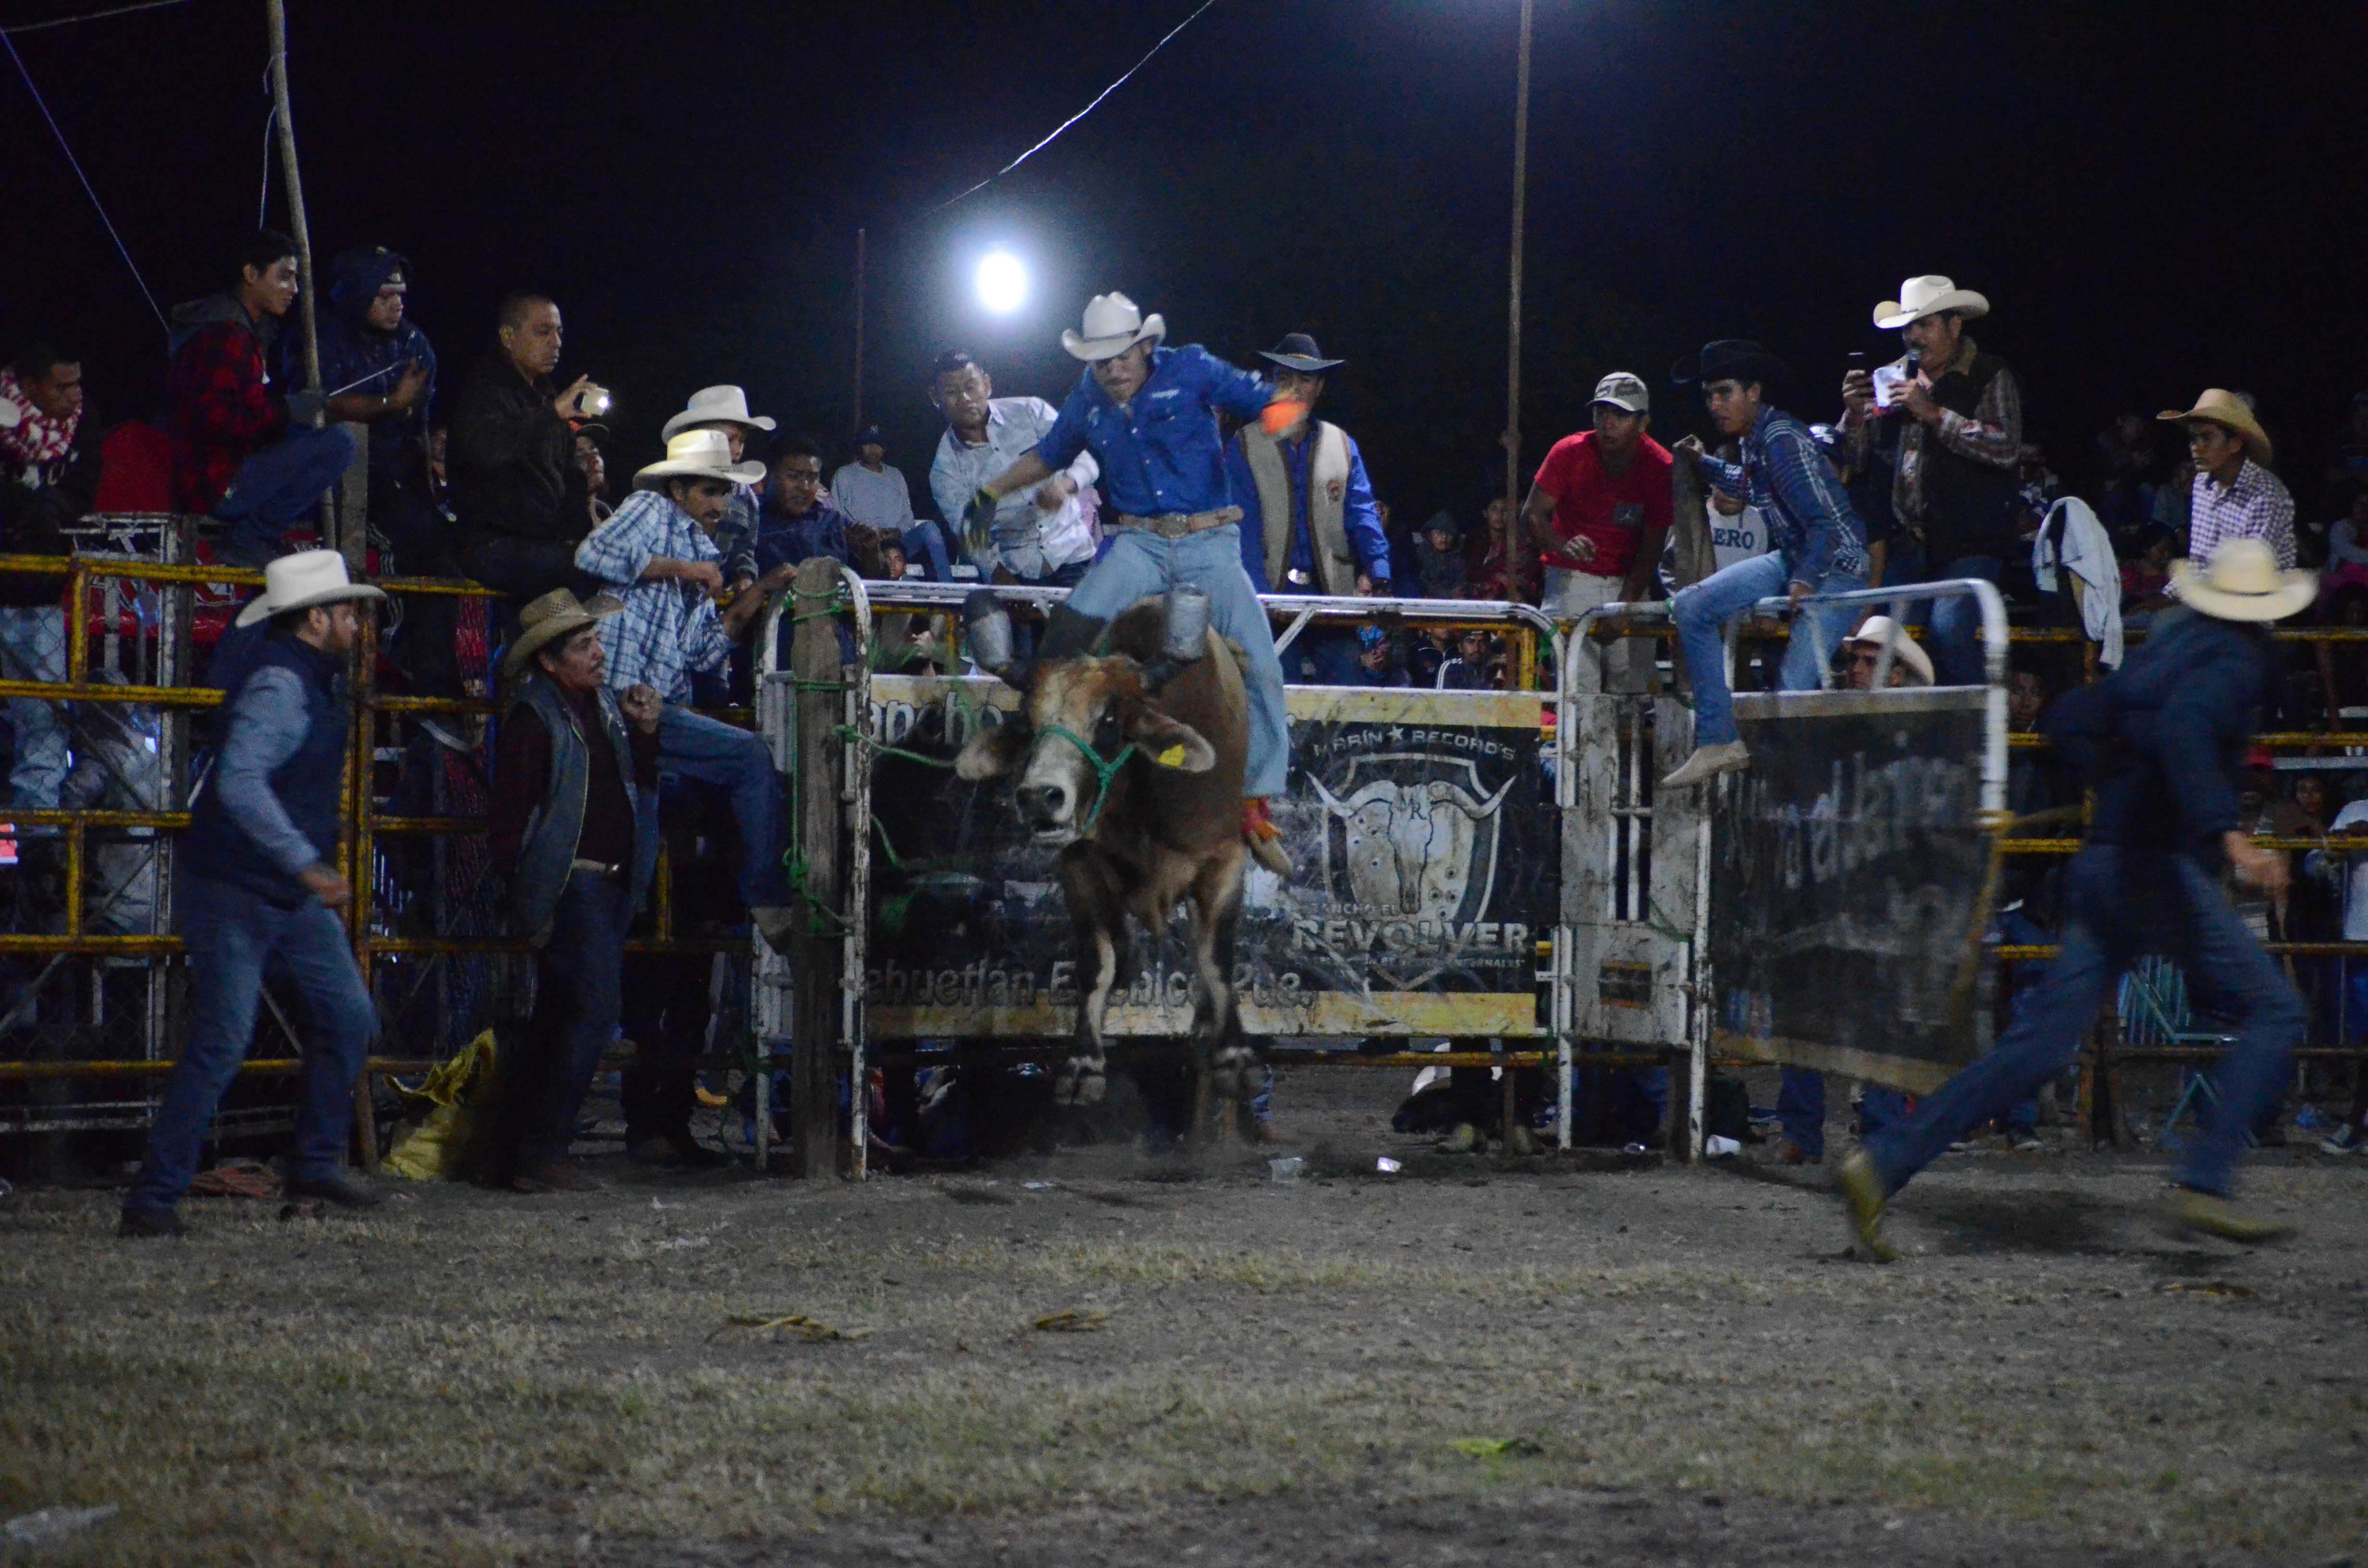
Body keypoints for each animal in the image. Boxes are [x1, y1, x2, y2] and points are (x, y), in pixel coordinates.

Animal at [956, 597, 1269, 1113]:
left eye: (1107, 721)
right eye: (1030, 722)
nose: (1040, 797)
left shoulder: (1223, 862)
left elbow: (1216, 957)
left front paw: (1237, 1054)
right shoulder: (1079, 869)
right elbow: (1096, 965)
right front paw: (1085, 1062)